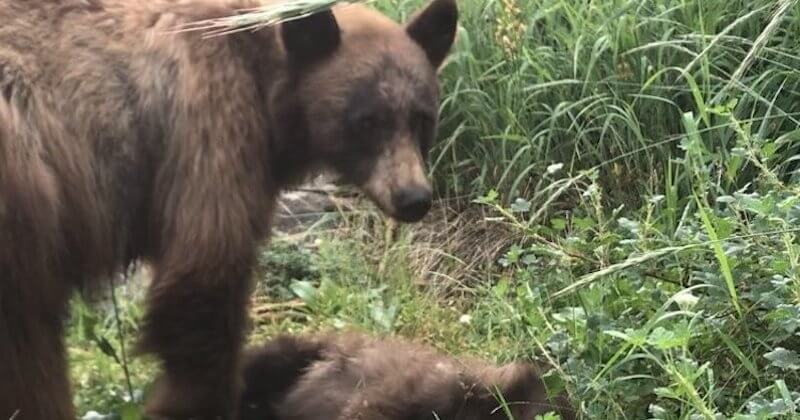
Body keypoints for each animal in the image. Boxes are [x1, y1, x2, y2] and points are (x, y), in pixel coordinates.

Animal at [0, 0, 456, 416]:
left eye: (422, 117)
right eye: (367, 120)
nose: (414, 198)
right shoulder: (211, 131)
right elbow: (204, 278)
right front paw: (200, 402)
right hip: (28, 198)